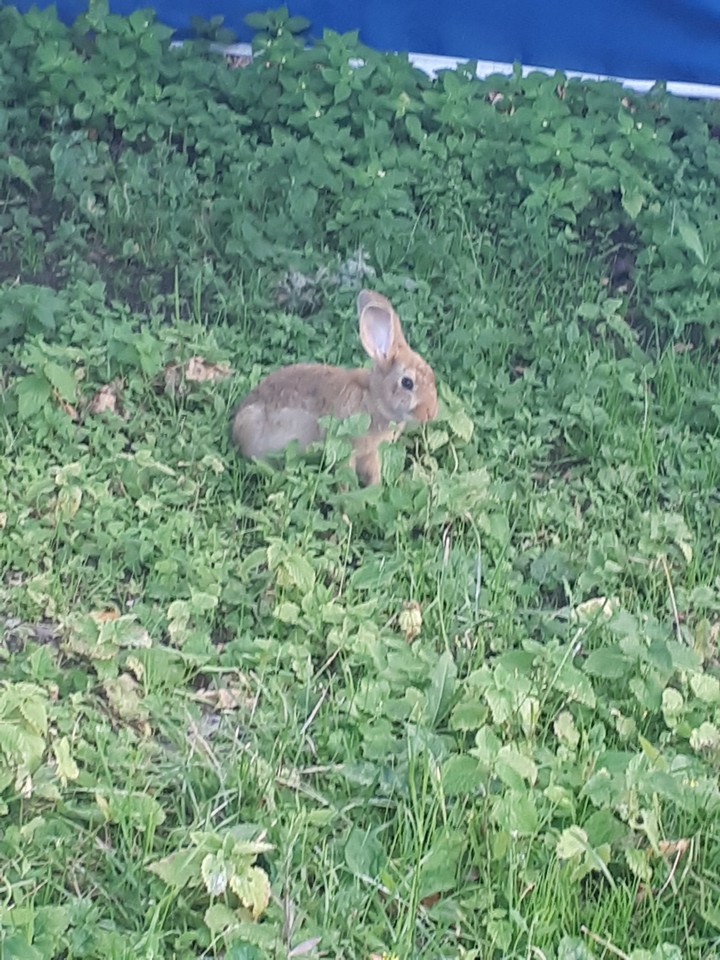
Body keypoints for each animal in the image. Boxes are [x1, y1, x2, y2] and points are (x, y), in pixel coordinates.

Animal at [230, 289, 438, 486]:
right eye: (407, 383)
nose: (431, 413)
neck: (373, 398)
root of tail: (237, 425)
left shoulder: (370, 453)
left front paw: (376, 489)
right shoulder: (345, 448)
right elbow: (345, 475)